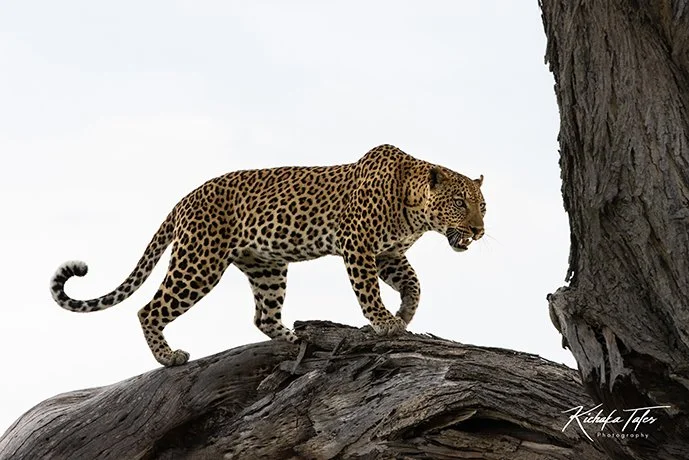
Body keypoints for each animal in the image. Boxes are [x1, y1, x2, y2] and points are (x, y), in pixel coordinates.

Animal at [50, 144, 486, 367]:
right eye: (460, 203)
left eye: (483, 206)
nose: (479, 231)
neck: (414, 211)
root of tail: (184, 199)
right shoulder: (358, 246)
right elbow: (368, 292)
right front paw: (385, 323)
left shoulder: (388, 255)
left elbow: (414, 284)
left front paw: (405, 315)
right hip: (199, 261)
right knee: (149, 309)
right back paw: (168, 357)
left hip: (267, 267)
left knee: (263, 317)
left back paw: (299, 338)